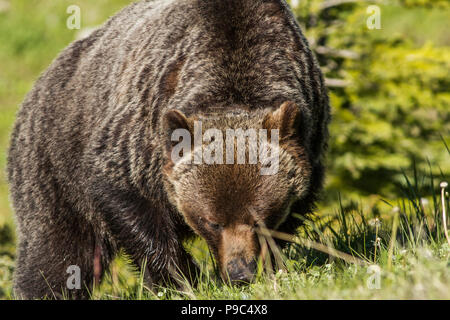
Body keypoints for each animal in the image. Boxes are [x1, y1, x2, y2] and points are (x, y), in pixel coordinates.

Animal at [7, 0, 328, 300]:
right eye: (212, 222)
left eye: (261, 219)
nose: (240, 273)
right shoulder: (140, 140)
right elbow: (130, 205)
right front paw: (182, 279)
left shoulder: (308, 135)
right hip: (52, 166)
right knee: (58, 252)